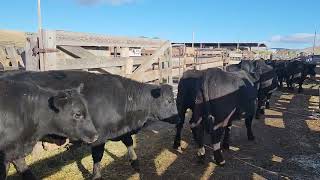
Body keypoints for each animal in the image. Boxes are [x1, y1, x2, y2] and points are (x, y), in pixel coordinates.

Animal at [1, 70, 179, 179]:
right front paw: (97, 176)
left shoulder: (121, 130)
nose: (178, 119)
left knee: (18, 161)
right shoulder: (99, 136)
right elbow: (98, 156)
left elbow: (128, 141)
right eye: (169, 101)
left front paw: (135, 163)